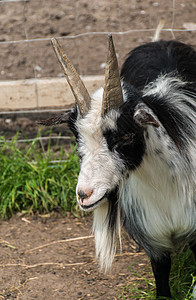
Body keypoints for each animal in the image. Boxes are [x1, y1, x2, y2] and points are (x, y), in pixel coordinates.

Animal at [39, 35, 196, 298]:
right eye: (77, 137)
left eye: (125, 136)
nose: (84, 194)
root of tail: (162, 41)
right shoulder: (153, 238)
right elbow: (161, 277)